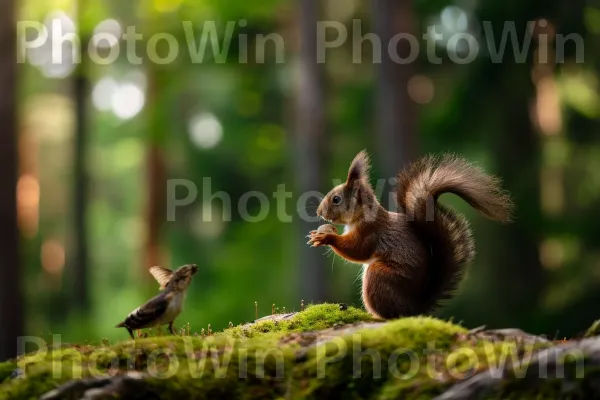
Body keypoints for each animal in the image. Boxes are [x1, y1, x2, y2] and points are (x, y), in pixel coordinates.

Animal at [310, 150, 510, 318]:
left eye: (336, 199)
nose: (319, 212)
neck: (361, 216)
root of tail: (414, 307)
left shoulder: (370, 232)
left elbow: (357, 250)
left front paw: (326, 237)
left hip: (379, 276)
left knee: (393, 314)